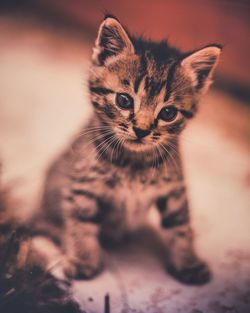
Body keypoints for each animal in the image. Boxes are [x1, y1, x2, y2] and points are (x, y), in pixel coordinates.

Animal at [25, 14, 222, 284]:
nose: (141, 130)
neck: (134, 162)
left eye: (168, 113)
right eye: (124, 100)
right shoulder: (83, 184)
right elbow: (81, 222)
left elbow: (181, 227)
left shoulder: (174, 190)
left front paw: (187, 263)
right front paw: (84, 260)